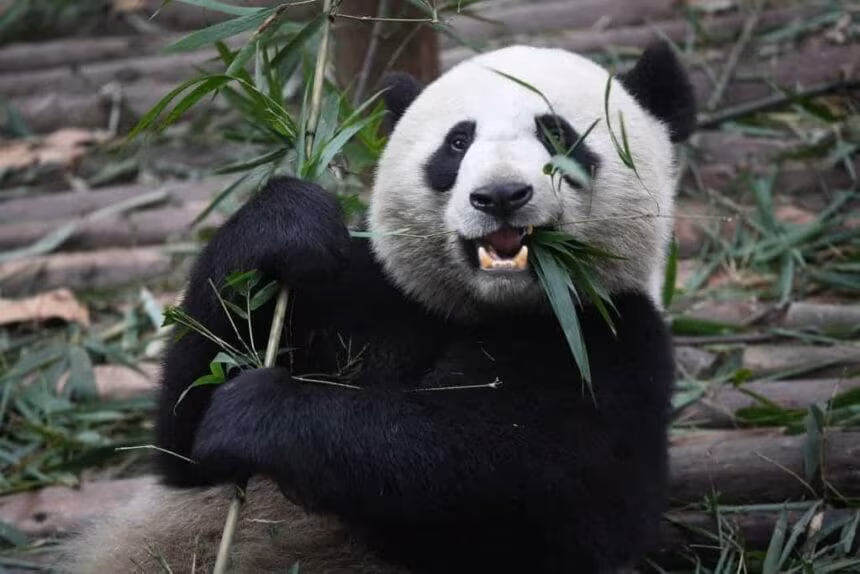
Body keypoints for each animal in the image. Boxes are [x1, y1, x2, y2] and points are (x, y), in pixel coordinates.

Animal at [66, 42, 696, 574]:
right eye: (458, 143)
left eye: (558, 134)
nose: (500, 196)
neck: (486, 309)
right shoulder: (369, 296)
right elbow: (184, 446)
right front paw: (285, 225)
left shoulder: (610, 346)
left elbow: (489, 470)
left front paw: (257, 411)